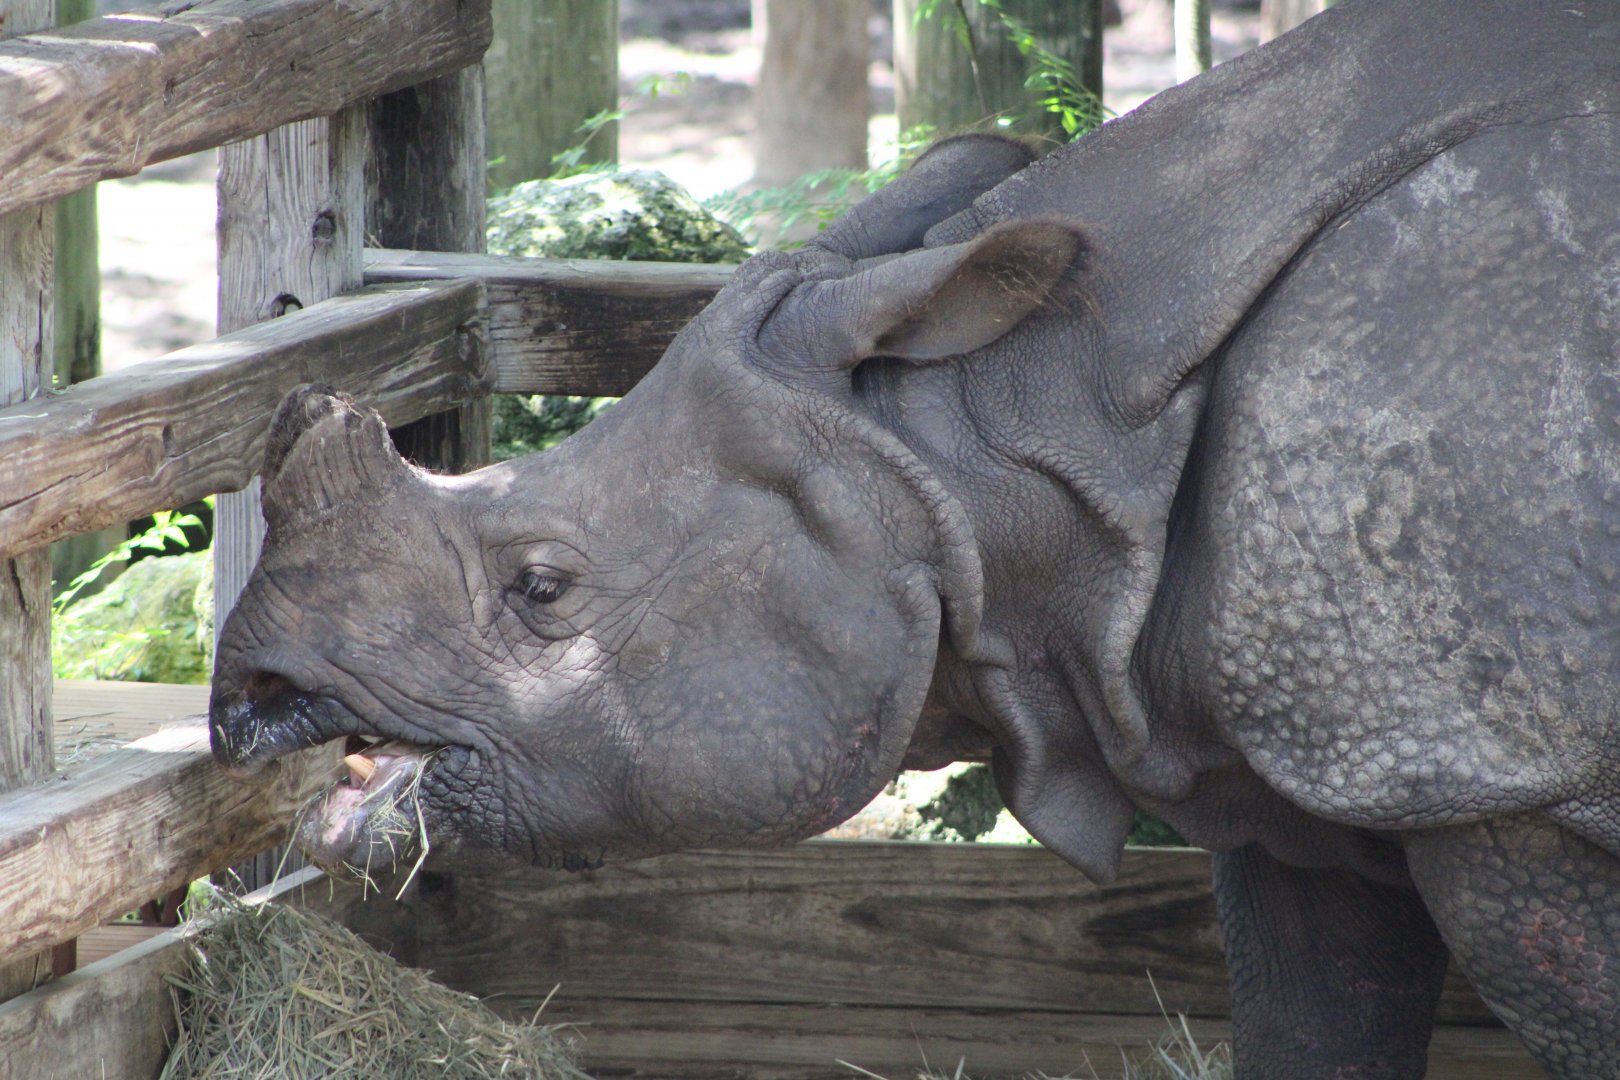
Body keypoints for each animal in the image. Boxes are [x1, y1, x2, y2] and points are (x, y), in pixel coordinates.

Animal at [210, 1, 1620, 1075]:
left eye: (543, 585)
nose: (251, 692)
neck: (1012, 423)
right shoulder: (1346, 749)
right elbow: (1316, 1015)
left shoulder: (1506, 773)